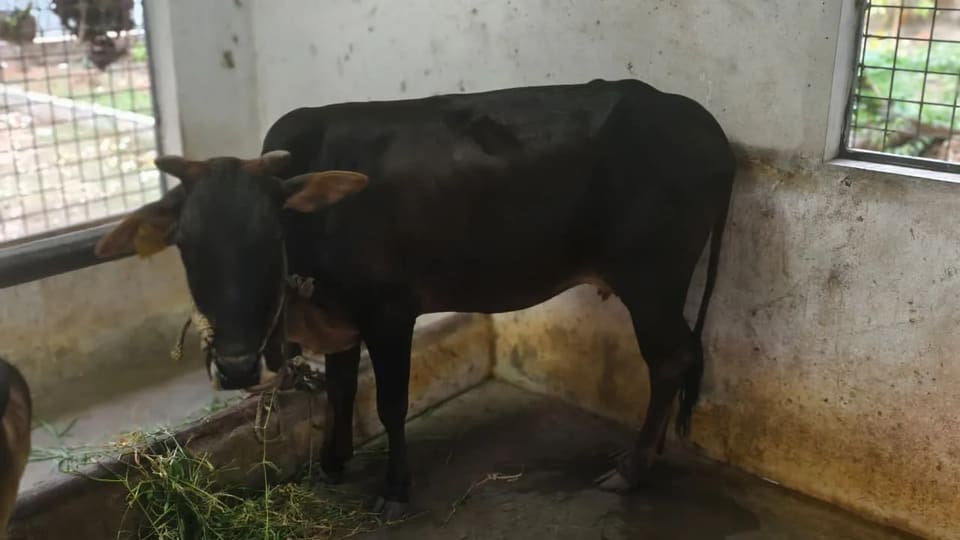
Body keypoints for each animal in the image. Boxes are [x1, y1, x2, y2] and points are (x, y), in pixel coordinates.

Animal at [94, 79, 734, 520]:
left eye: (271, 236)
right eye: (185, 245)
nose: (234, 367)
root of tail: (701, 122)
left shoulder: (390, 312)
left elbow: (390, 403)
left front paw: (395, 491)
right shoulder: (341, 317)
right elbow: (342, 389)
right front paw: (332, 464)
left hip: (652, 280)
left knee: (671, 360)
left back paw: (631, 468)